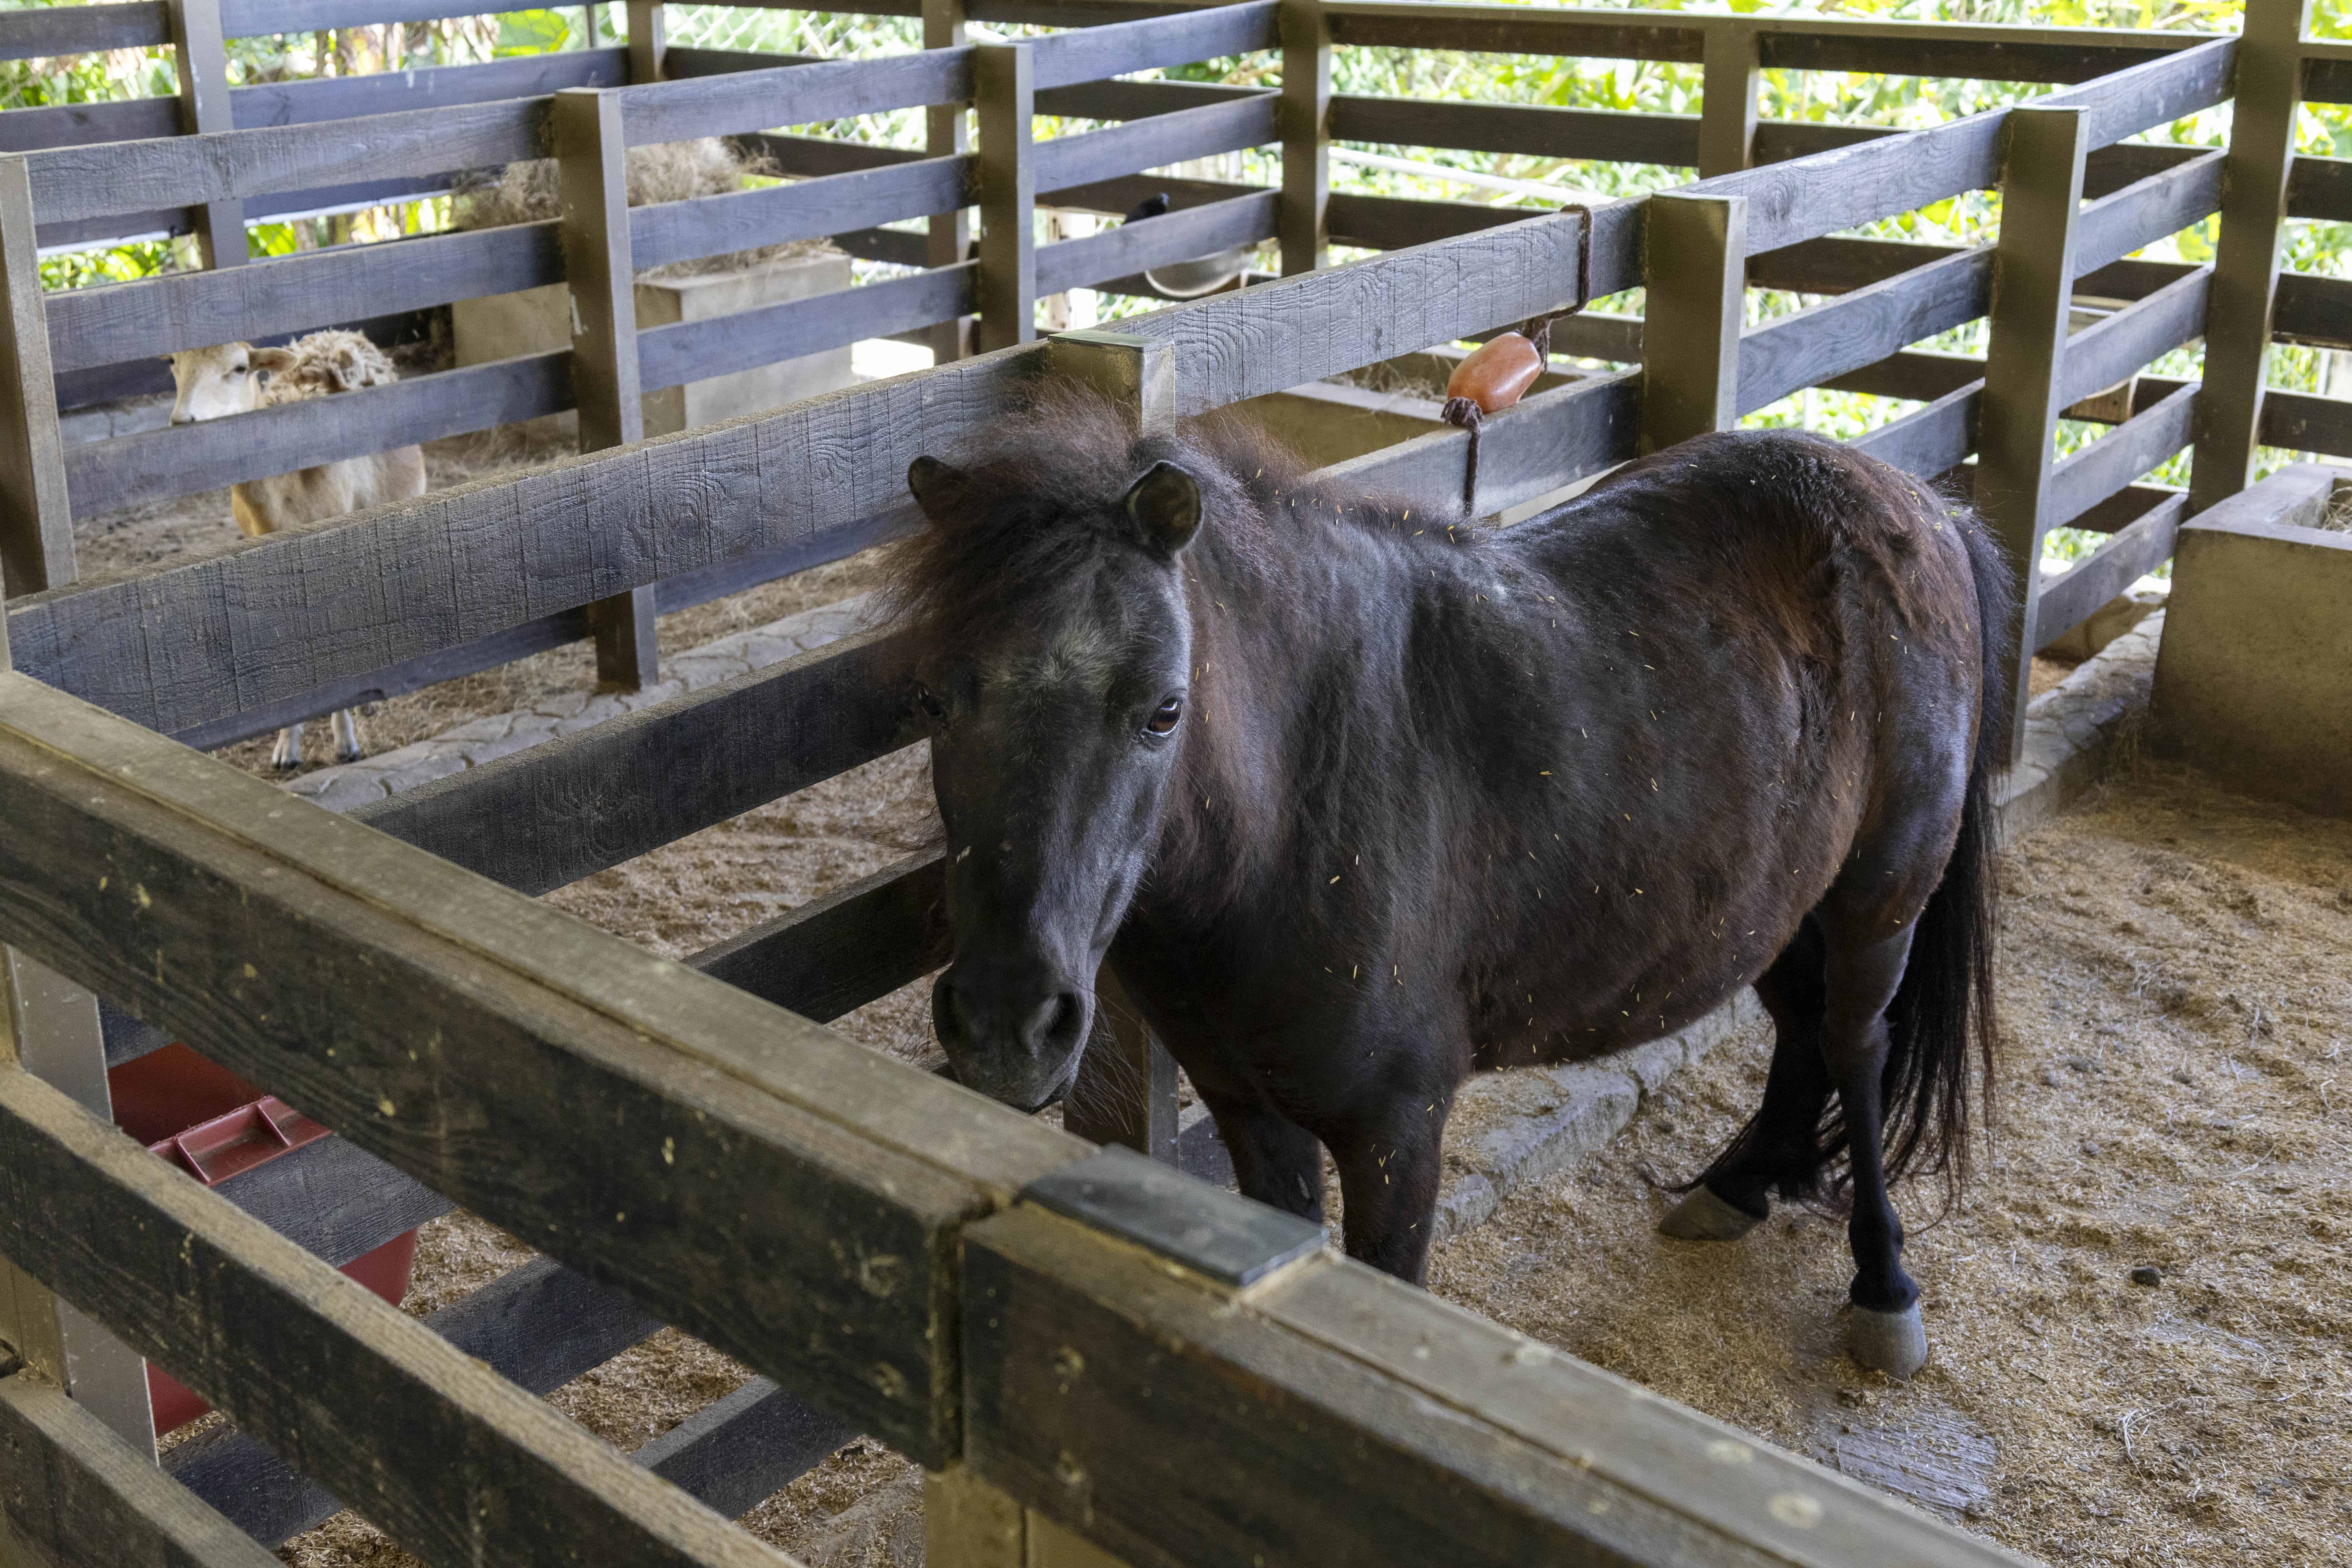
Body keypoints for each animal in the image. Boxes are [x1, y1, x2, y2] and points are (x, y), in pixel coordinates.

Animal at [889, 390, 2013, 1373]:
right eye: (933, 700)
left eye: (1164, 710)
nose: (1006, 1023)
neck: (1296, 805)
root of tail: (1924, 507)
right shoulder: (1250, 1112)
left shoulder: (1396, 1136)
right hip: (1770, 903)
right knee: (1798, 1029)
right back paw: (1737, 1187)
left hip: (1877, 900)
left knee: (1855, 1046)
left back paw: (1882, 1286)